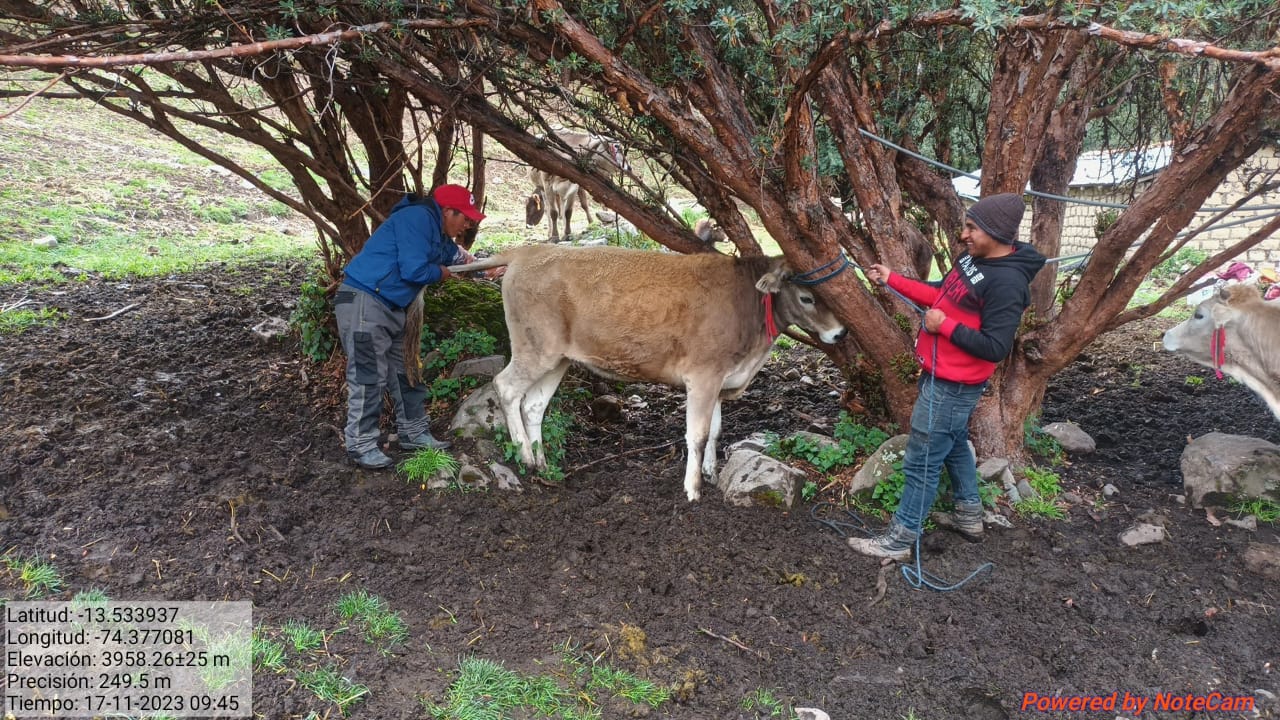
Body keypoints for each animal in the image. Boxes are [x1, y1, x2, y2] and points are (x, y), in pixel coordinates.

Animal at [450, 243, 849, 497]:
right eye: (807, 298)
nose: (841, 332)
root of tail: (526, 250)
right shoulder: (703, 374)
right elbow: (697, 434)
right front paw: (692, 489)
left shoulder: (721, 377)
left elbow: (716, 430)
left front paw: (711, 473)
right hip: (535, 348)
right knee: (506, 387)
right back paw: (525, 457)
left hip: (558, 357)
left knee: (533, 404)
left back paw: (543, 464)